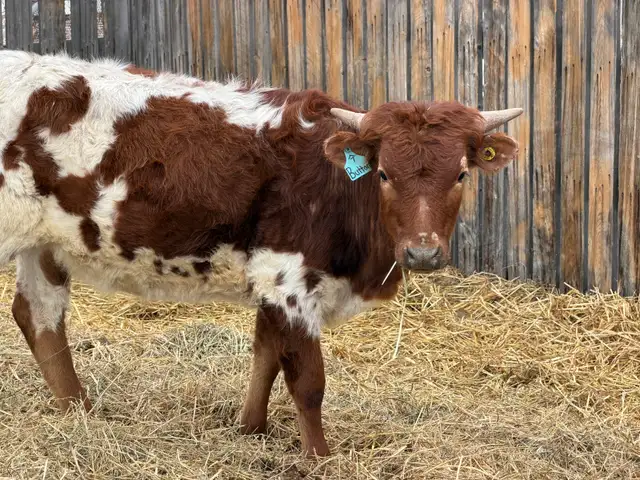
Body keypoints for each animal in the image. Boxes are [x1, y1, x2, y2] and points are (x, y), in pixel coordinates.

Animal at [0, 49, 522, 457]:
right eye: (384, 174)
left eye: (460, 174)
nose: (422, 253)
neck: (335, 183)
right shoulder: (289, 279)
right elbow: (307, 381)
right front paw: (319, 459)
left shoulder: (274, 281)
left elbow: (266, 353)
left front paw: (251, 427)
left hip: (43, 242)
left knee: (39, 317)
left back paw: (80, 412)